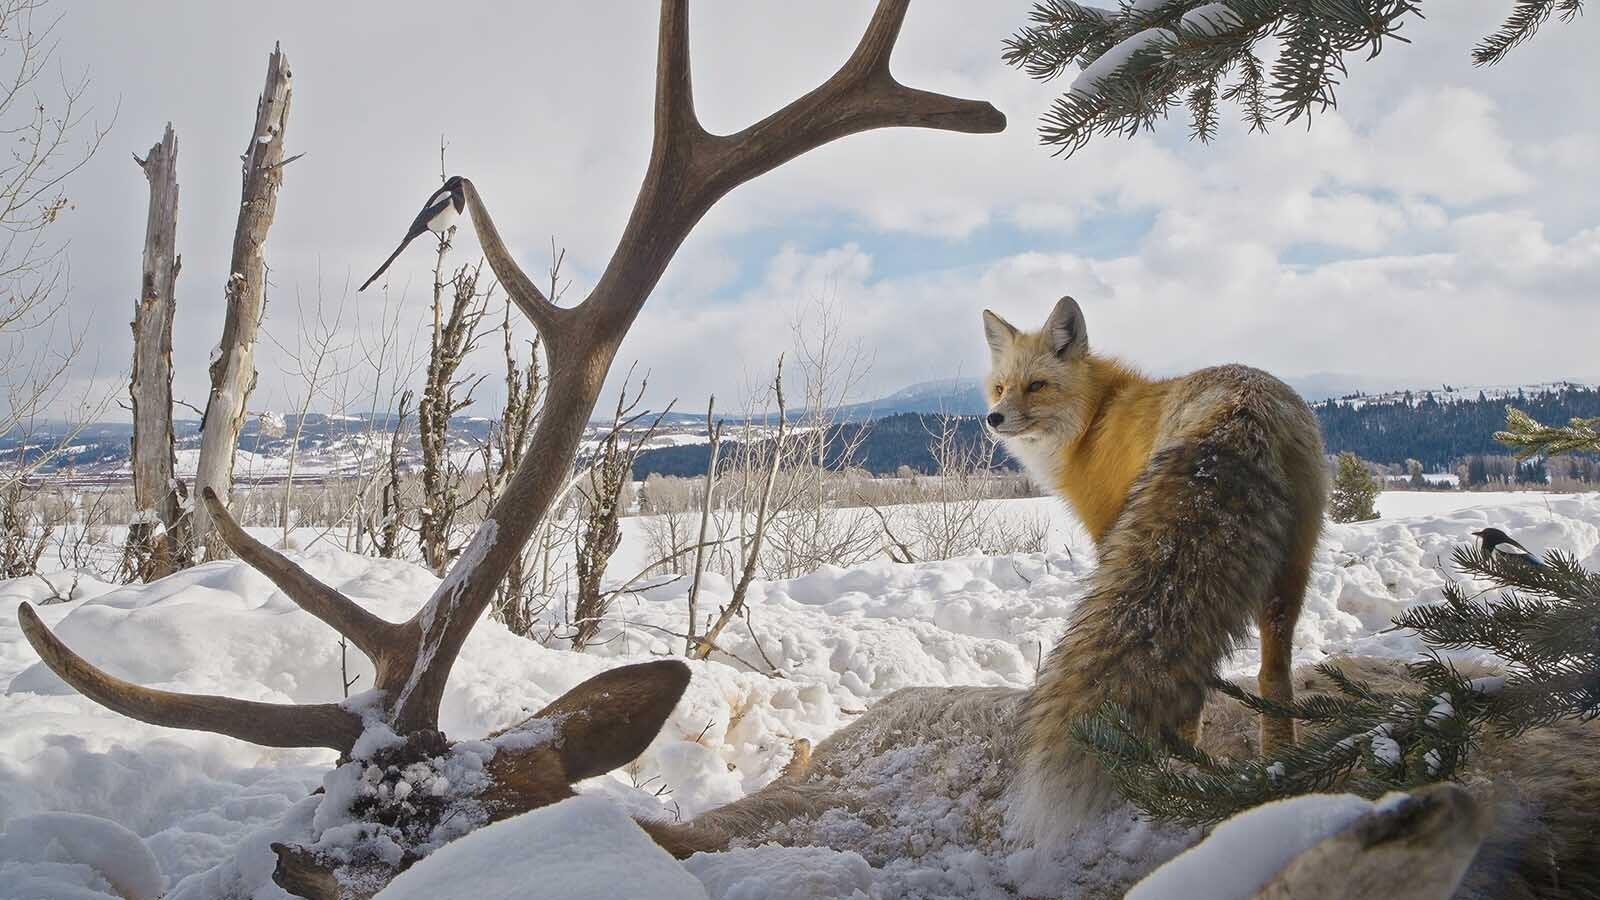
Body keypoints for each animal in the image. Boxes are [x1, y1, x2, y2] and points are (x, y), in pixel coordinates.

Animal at [981, 295, 1329, 842]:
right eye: (1000, 387)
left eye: (1036, 385)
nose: (993, 418)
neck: (1094, 420)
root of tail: (1244, 406)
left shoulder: (1107, 533)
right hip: (1289, 576)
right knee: (1268, 675)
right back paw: (1276, 765)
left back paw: (1176, 756)